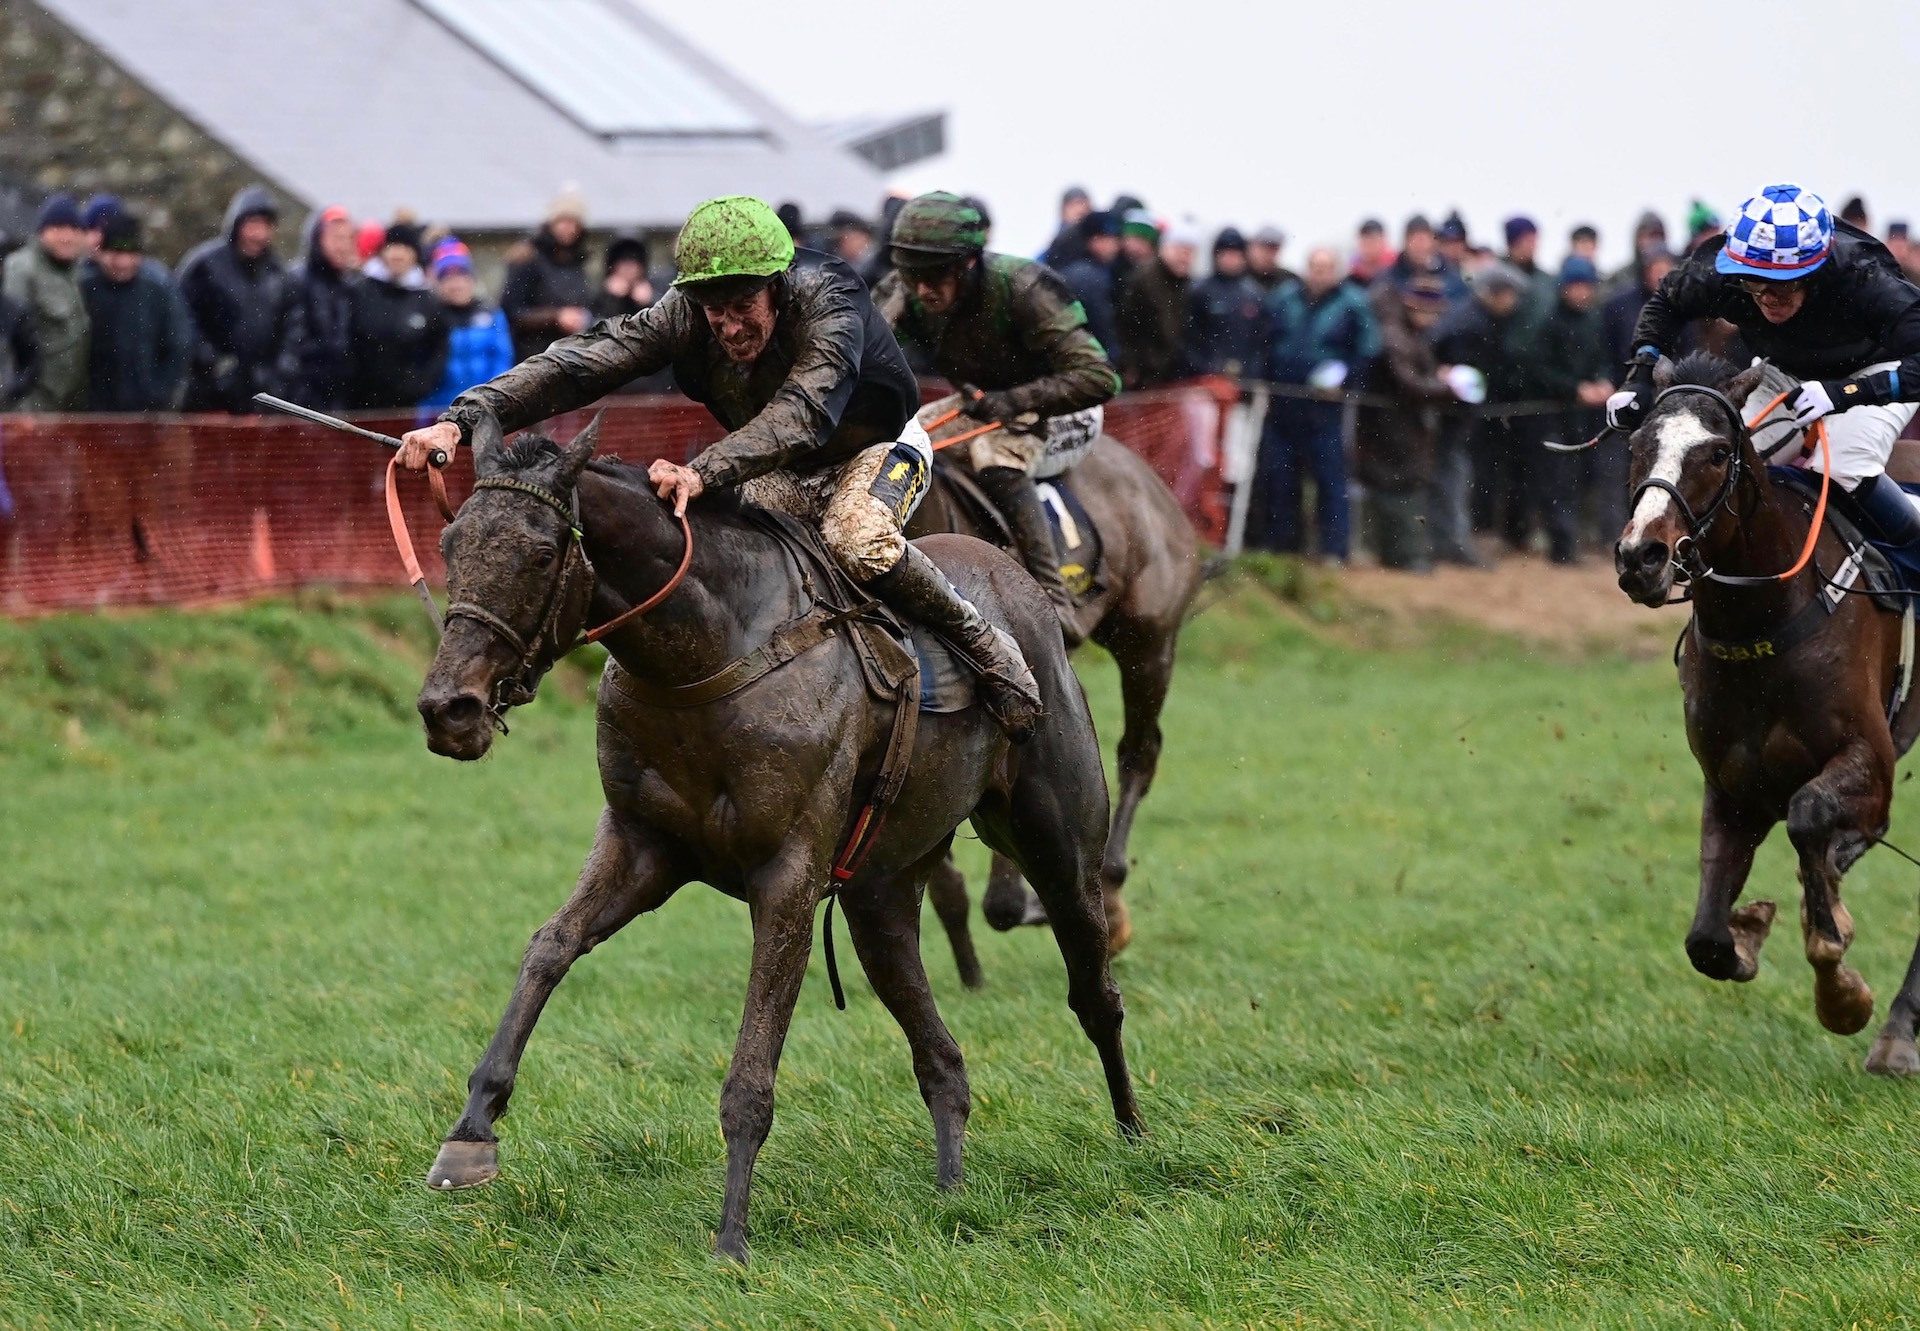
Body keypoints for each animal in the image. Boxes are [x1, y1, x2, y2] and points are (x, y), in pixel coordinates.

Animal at [1620, 349, 1920, 1067]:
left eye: (1715, 451)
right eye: (1638, 445)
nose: (1641, 557)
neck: (1764, 618)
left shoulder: (1873, 762)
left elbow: (1810, 818)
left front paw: (1843, 996)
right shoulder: (1731, 783)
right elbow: (1705, 938)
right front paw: (1749, 926)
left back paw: (1897, 1034)